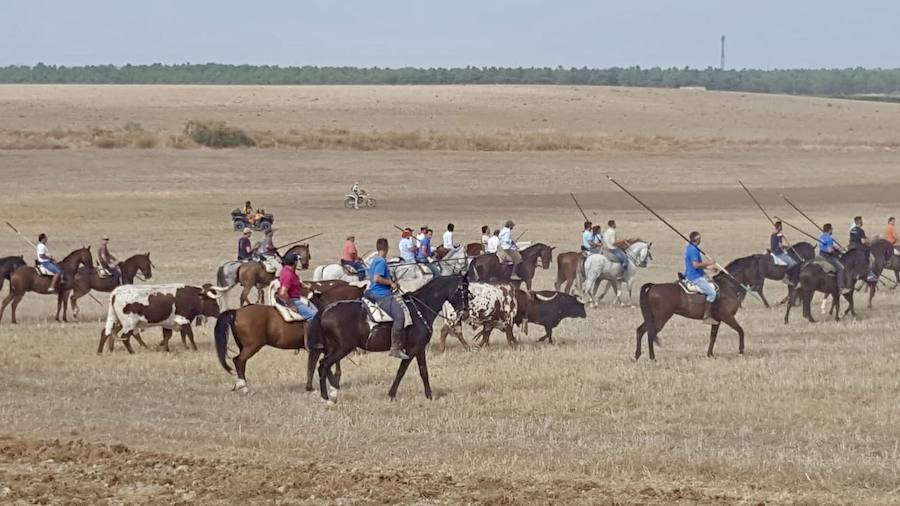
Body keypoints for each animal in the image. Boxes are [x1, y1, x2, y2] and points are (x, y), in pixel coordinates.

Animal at [96, 282, 225, 354]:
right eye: (213, 302)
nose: (219, 313)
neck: (191, 297)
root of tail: (116, 292)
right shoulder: (183, 320)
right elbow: (189, 335)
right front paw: (194, 349)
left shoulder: (168, 323)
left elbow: (168, 337)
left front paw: (167, 349)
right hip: (129, 323)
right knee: (125, 337)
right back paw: (132, 352)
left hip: (114, 319)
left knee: (106, 333)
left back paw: (100, 352)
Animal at [213, 282, 364, 394]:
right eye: (361, 298)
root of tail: (237, 312)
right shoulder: (321, 347)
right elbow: (314, 365)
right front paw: (314, 387)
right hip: (252, 346)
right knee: (238, 361)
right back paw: (244, 387)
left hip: (244, 346)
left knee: (241, 362)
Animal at [306, 274, 468, 402]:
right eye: (464, 290)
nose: (465, 313)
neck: (420, 310)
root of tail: (325, 310)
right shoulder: (412, 349)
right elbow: (402, 371)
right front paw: (392, 394)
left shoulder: (420, 349)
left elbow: (424, 372)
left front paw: (429, 396)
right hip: (342, 348)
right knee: (323, 365)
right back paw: (327, 397)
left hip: (332, 348)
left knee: (323, 365)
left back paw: (331, 390)